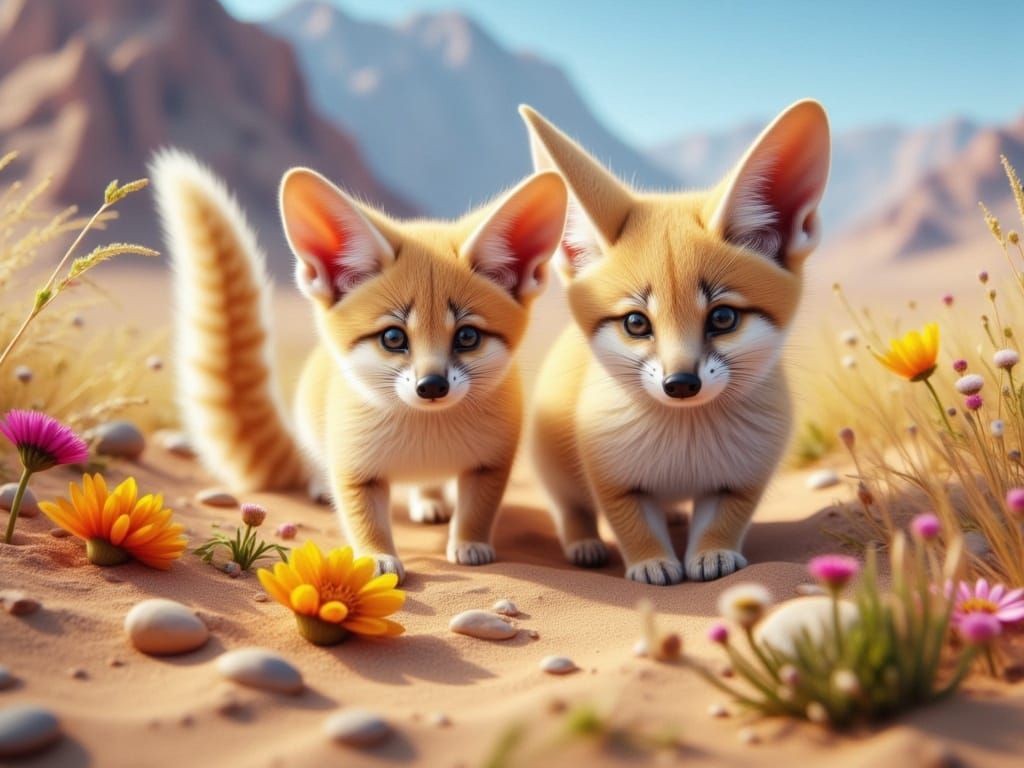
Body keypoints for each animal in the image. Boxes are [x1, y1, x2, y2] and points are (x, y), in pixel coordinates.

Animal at [151, 151, 568, 583]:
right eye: (393, 338)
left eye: (467, 337)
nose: (432, 386)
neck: (427, 441)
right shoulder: (355, 468)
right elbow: (364, 519)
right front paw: (376, 558)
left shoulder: (492, 462)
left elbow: (478, 511)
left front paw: (470, 544)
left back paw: (430, 500)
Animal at [519, 100, 830, 585]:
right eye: (636, 323)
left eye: (722, 318)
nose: (681, 383)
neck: (685, 448)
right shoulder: (614, 479)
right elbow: (633, 525)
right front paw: (652, 563)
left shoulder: (742, 479)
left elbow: (723, 521)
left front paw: (712, 554)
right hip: (554, 465)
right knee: (570, 507)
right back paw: (584, 543)